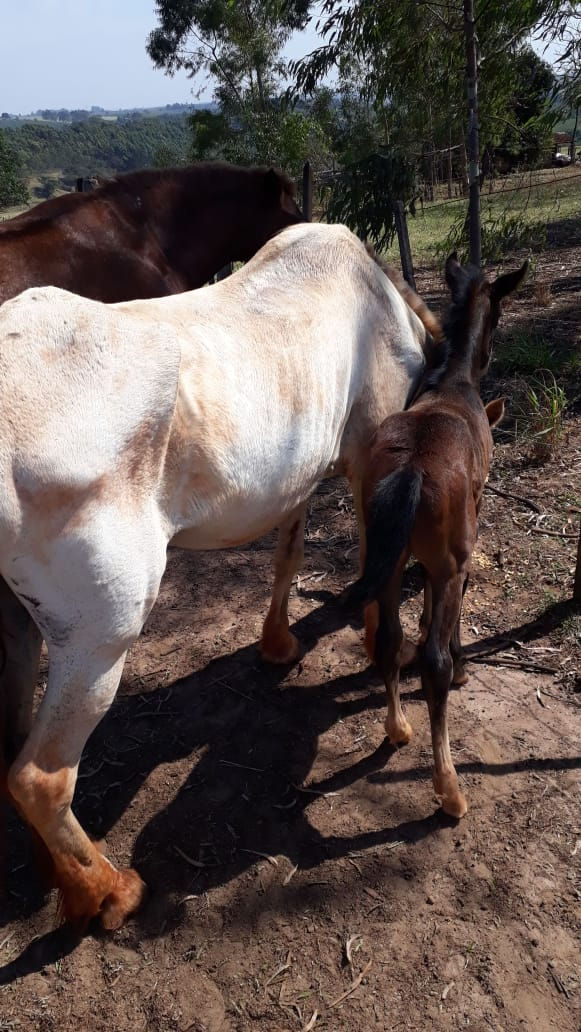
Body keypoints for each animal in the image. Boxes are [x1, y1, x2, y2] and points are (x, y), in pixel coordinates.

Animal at [0, 221, 442, 931]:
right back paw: (110, 893)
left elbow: (289, 553)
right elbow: (375, 563)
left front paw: (278, 646)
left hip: (18, 626)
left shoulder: (300, 476)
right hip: (100, 639)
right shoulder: (369, 452)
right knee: (39, 777)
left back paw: (63, 881)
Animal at [347, 253, 527, 820]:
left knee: (388, 640)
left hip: (385, 563)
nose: (492, 354)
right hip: (450, 562)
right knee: (433, 663)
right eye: (499, 314)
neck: (453, 383)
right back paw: (448, 785)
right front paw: (464, 659)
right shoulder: (460, 549)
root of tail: (411, 468)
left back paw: (398, 727)